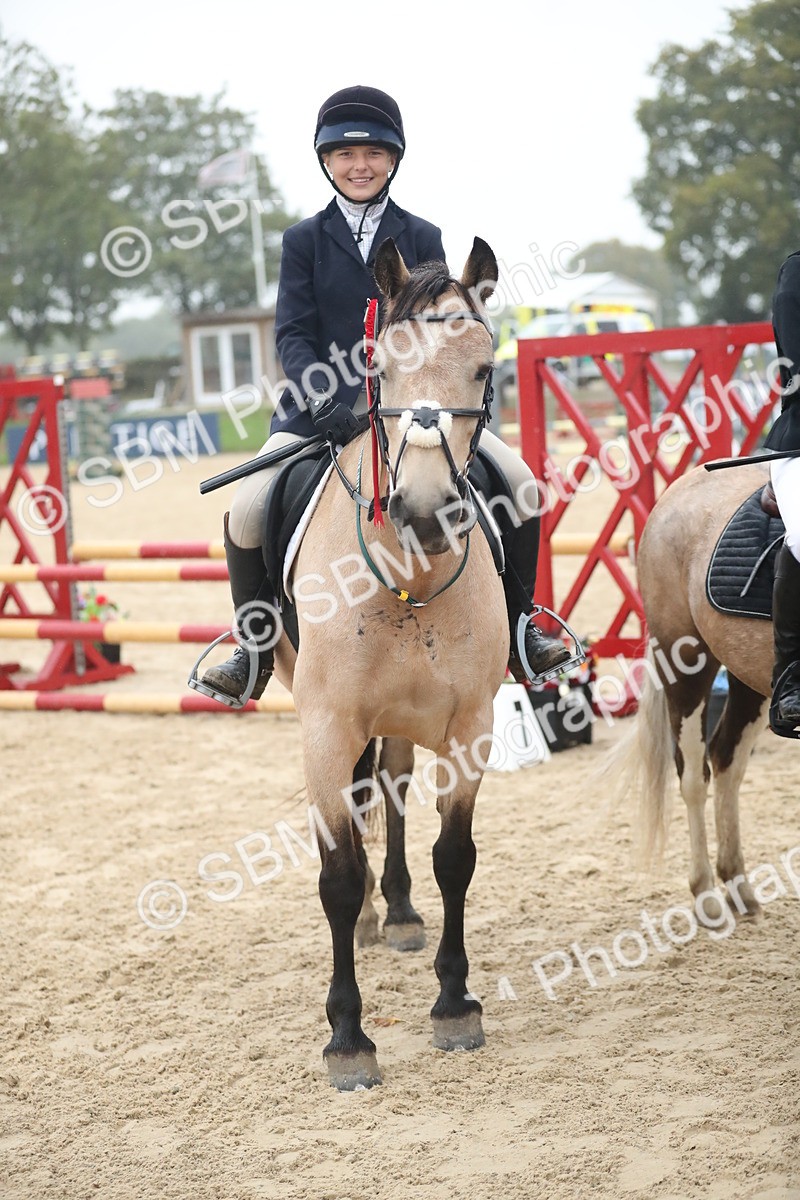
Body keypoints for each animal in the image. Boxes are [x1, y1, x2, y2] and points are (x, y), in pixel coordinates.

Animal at [271, 237, 508, 1089]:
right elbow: (336, 877)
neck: (410, 575)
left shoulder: (470, 727)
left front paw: (454, 1004)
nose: (426, 511)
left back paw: (400, 911)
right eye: (381, 364)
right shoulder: (325, 729)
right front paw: (348, 1038)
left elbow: (455, 857)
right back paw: (378, 912)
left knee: (397, 788)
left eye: (483, 369)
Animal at [611, 460, 778, 921]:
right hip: (688, 670)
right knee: (693, 777)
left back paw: (739, 886)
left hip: (750, 679)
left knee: (726, 762)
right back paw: (706, 894)